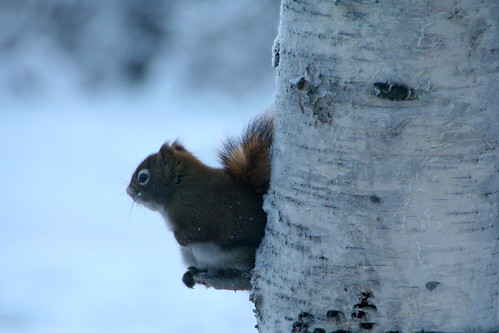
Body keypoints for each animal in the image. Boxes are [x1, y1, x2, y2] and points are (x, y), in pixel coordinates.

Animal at [126, 113, 274, 288]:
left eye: (143, 177)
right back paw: (192, 274)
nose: (129, 191)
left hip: (237, 256)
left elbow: (195, 233)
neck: (179, 189)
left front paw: (179, 238)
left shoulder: (201, 215)